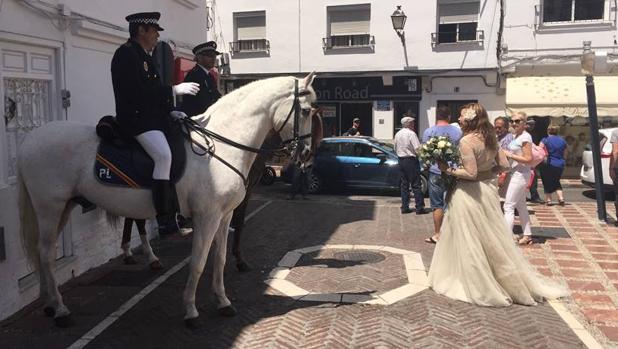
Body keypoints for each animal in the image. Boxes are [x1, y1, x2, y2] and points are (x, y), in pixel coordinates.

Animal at [18, 72, 318, 326]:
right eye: (305, 111)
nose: (305, 154)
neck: (220, 145)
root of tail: (30, 139)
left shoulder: (224, 216)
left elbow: (219, 259)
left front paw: (223, 302)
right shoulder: (207, 217)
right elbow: (199, 261)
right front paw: (191, 310)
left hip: (63, 207)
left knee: (43, 252)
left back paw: (49, 304)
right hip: (49, 207)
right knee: (45, 253)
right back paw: (60, 309)